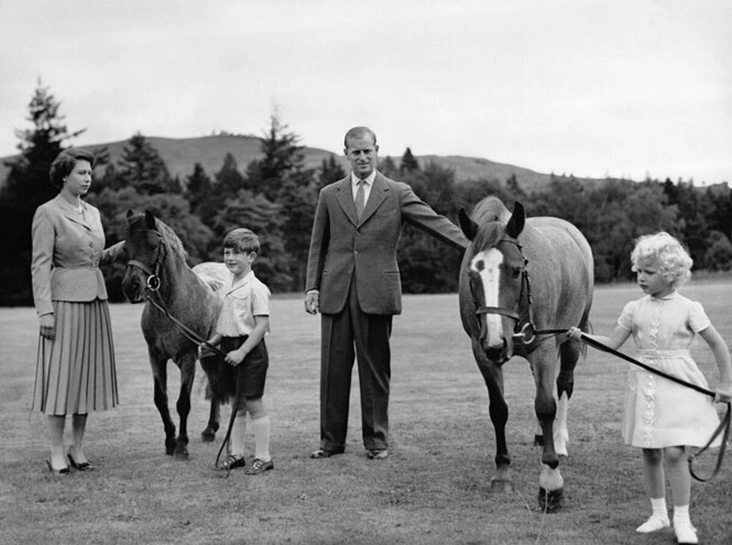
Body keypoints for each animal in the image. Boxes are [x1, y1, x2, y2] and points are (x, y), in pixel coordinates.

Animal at [121, 210, 230, 460]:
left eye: (152, 246)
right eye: (125, 248)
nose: (131, 287)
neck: (171, 304)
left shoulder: (188, 358)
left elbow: (183, 403)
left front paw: (181, 445)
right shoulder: (155, 357)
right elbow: (161, 399)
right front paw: (170, 441)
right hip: (208, 354)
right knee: (215, 384)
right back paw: (210, 429)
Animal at [458, 196, 594, 511]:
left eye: (517, 270)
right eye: (472, 274)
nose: (496, 343)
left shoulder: (544, 347)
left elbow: (545, 405)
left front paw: (551, 482)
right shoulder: (481, 353)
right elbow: (498, 409)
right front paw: (502, 474)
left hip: (572, 337)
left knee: (563, 385)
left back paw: (558, 439)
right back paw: (543, 434)